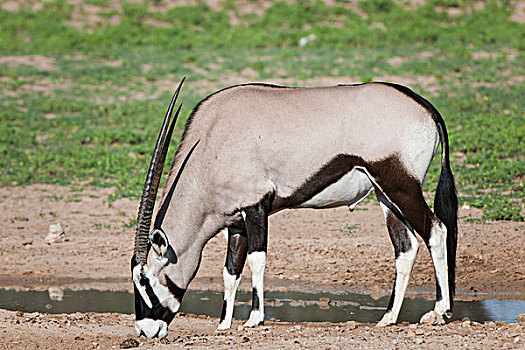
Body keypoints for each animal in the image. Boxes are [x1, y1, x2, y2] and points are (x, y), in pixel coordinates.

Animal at [131, 78, 454, 338]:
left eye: (144, 279)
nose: (146, 330)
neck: (212, 141)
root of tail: (424, 106)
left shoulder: (255, 208)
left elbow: (256, 260)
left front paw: (254, 319)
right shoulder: (236, 222)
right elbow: (230, 271)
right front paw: (223, 324)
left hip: (401, 187)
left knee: (436, 231)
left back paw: (439, 312)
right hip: (385, 195)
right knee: (405, 247)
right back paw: (388, 318)